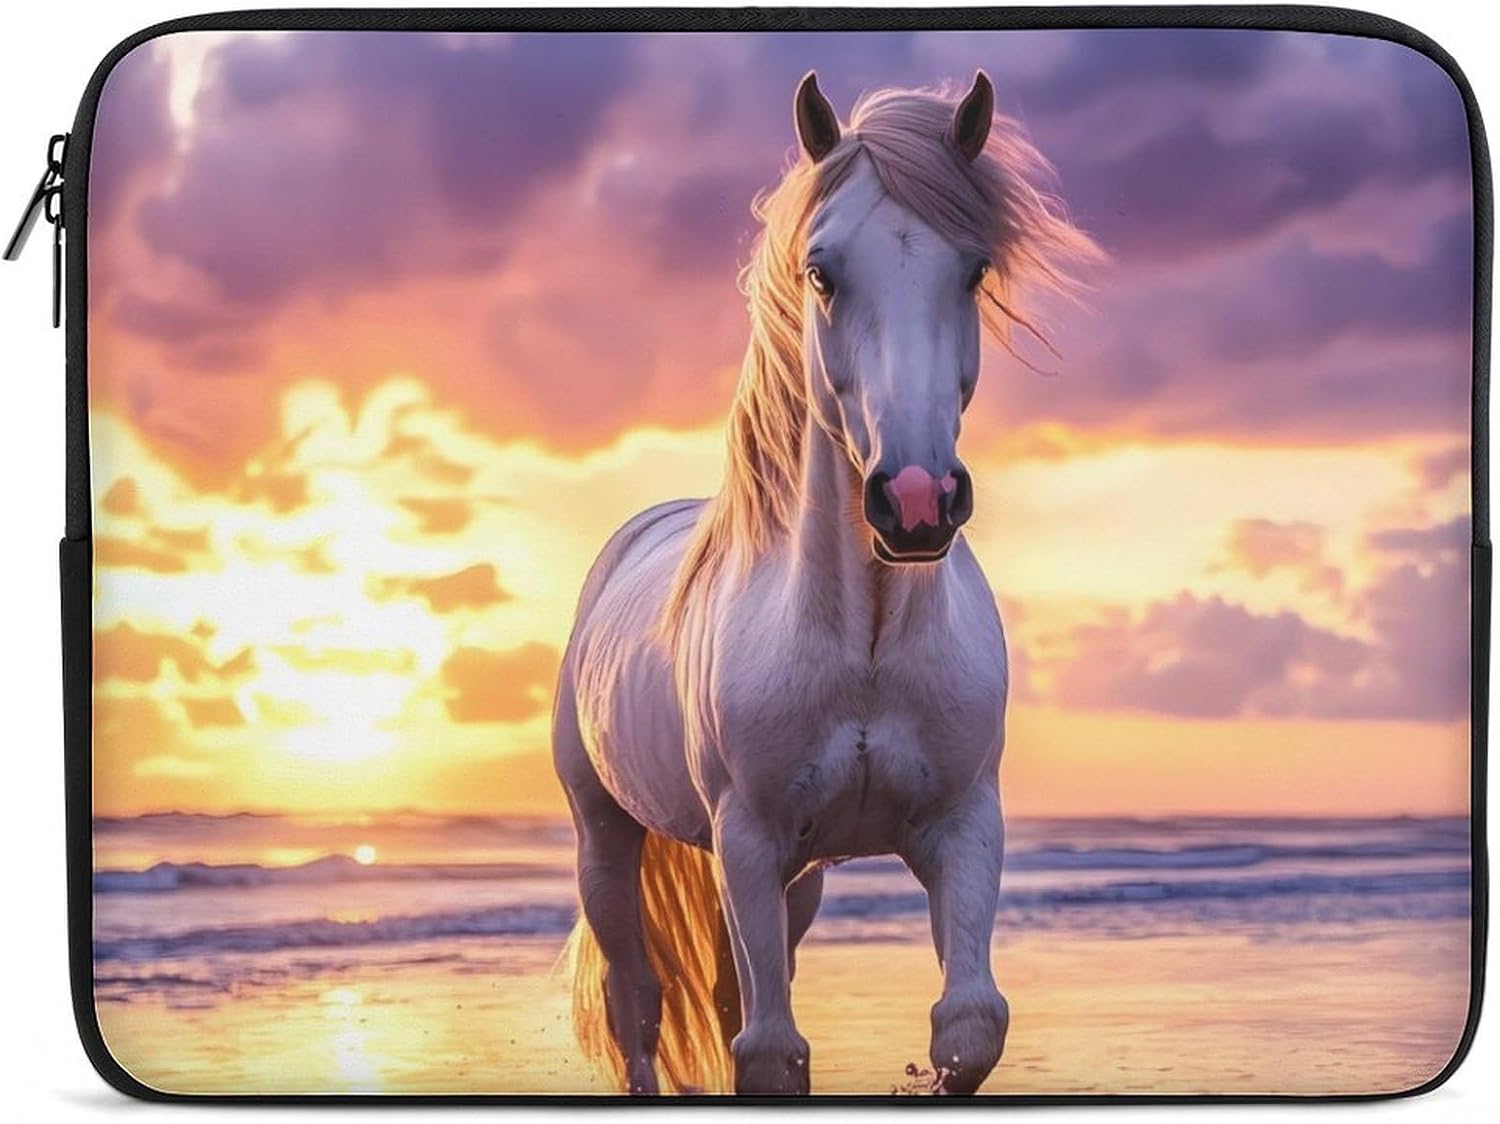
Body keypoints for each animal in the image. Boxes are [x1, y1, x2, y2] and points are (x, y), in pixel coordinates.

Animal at [552, 70, 1096, 1095]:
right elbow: (768, 1054)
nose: (917, 501)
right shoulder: (748, 838)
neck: (866, 649)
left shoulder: (961, 827)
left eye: (975, 271)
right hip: (607, 836)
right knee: (637, 1002)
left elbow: (968, 1026)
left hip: (795, 881)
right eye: (822, 273)